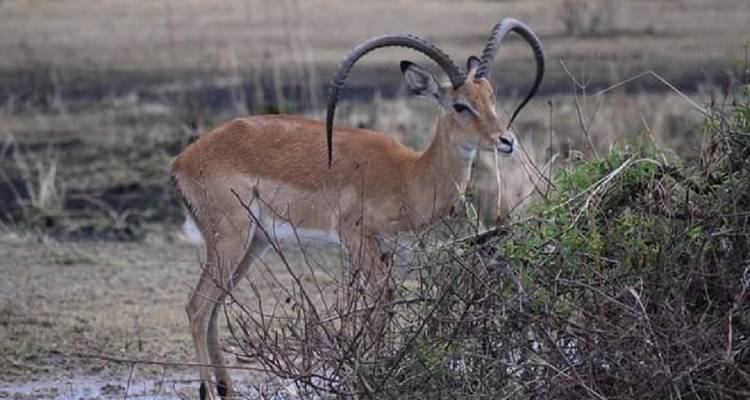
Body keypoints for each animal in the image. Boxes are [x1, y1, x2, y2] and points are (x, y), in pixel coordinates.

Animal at [170, 18, 544, 399]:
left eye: (491, 95)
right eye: (460, 105)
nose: (506, 141)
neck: (407, 174)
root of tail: (182, 160)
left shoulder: (384, 247)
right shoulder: (355, 237)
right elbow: (382, 302)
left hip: (254, 243)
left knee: (214, 308)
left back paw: (225, 388)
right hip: (231, 239)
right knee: (197, 308)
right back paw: (208, 388)